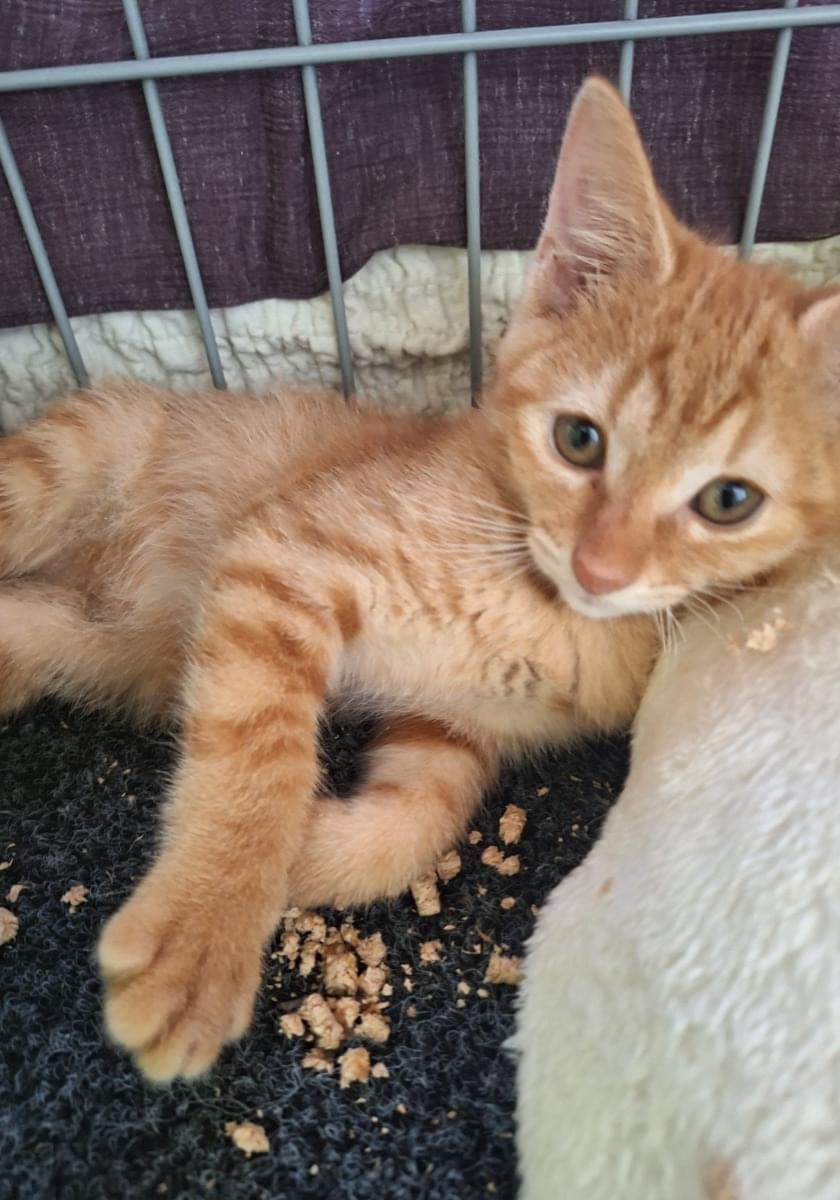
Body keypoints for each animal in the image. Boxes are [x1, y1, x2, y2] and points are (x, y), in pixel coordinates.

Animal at [2, 75, 839, 1083]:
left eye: (728, 500)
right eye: (579, 439)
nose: (599, 567)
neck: (542, 601)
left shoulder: (452, 728)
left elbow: (414, 824)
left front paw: (305, 855)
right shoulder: (284, 555)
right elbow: (259, 751)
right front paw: (208, 925)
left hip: (98, 649)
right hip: (73, 459)